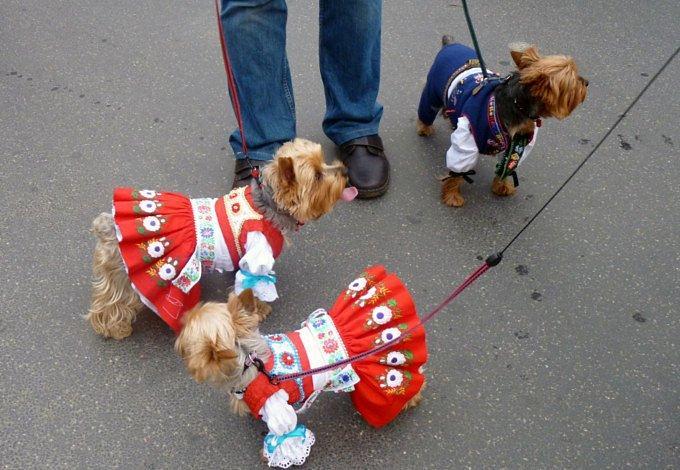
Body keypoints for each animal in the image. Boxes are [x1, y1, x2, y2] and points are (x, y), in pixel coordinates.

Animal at [87, 138, 358, 340]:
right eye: (318, 176)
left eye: (323, 161)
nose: (345, 170)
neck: (267, 204)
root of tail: (109, 225)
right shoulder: (257, 255)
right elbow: (254, 284)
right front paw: (259, 310)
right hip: (127, 276)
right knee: (112, 300)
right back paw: (114, 328)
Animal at [175, 266, 428, 468]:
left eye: (187, 338)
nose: (182, 316)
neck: (249, 361)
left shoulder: (278, 408)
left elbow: (285, 435)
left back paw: (411, 398)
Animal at [418, 39, 588, 208]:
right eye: (573, 79)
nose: (586, 82)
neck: (519, 106)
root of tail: (450, 44)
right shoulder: (467, 140)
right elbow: (459, 170)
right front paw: (452, 195)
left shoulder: (517, 143)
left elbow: (507, 166)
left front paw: (501, 186)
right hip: (432, 93)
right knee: (427, 110)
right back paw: (424, 128)